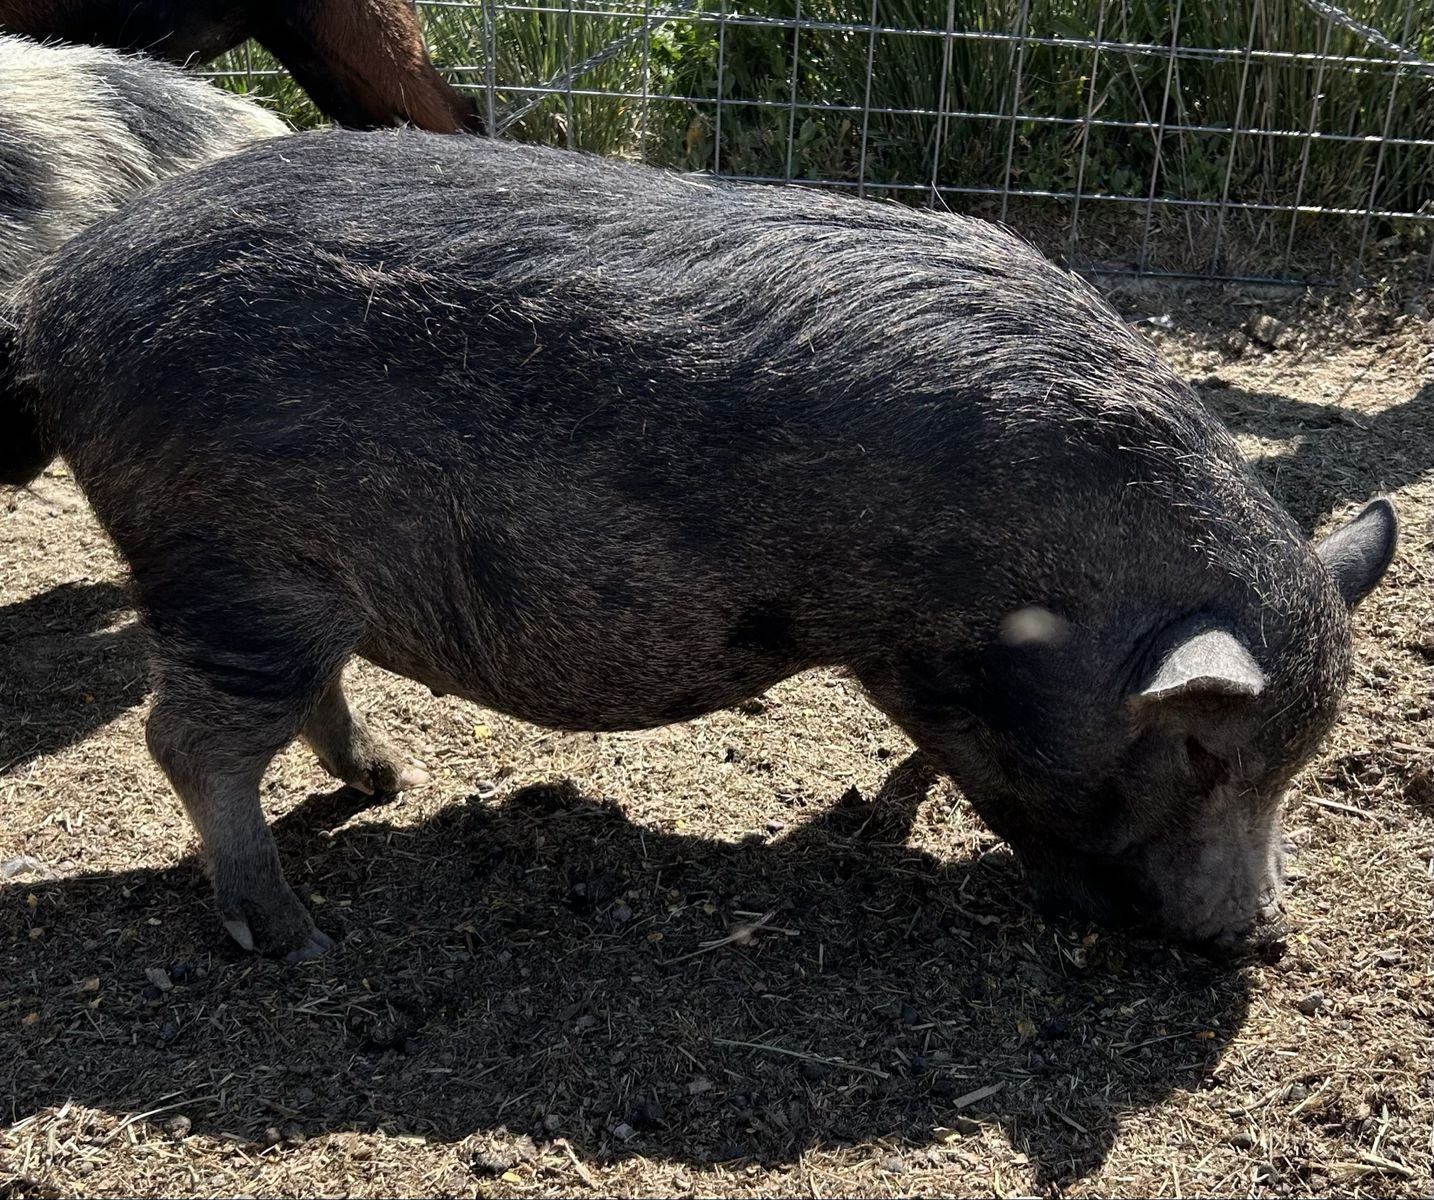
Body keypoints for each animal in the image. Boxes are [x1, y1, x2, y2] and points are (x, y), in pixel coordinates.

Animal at [0, 130, 1397, 963]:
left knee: (300, 703)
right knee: (188, 742)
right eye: (1205, 752)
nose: (1264, 938)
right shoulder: (928, 654)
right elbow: (986, 771)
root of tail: (56, 297)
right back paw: (291, 936)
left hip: (281, 585)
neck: (1063, 593)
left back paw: (390, 783)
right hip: (228, 563)